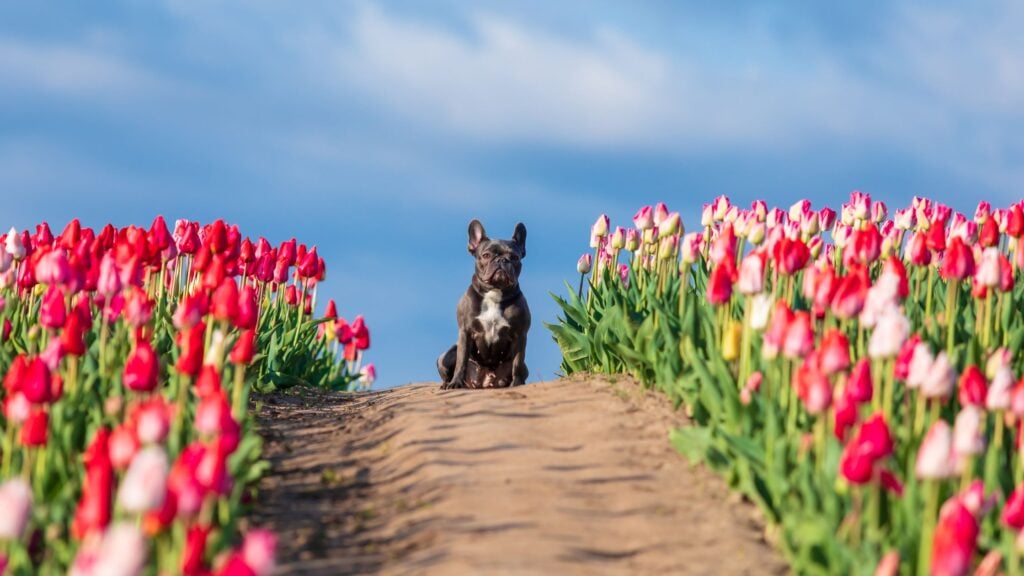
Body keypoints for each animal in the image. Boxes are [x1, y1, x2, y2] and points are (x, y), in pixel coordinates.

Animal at [438, 217, 532, 387]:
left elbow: (517, 363)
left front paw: (516, 384)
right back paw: (447, 384)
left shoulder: (520, 335)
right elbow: (461, 361)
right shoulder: (465, 332)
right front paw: (456, 383)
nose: (502, 260)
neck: (495, 291)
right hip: (445, 356)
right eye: (486, 255)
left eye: (515, 257)